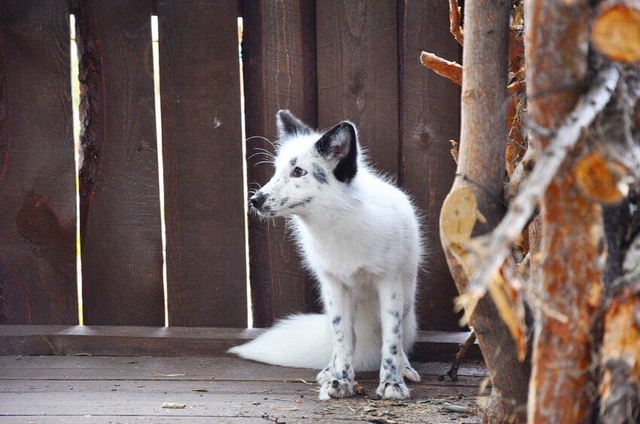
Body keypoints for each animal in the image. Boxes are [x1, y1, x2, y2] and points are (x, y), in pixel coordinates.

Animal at [231, 110, 424, 400]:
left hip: (406, 297)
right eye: (276, 171)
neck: (339, 225)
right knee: (348, 337)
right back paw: (330, 370)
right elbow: (342, 339)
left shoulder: (388, 282)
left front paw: (392, 383)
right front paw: (340, 380)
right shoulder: (335, 283)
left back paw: (405, 368)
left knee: (398, 336)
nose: (255, 200)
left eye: (299, 172)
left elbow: (391, 340)